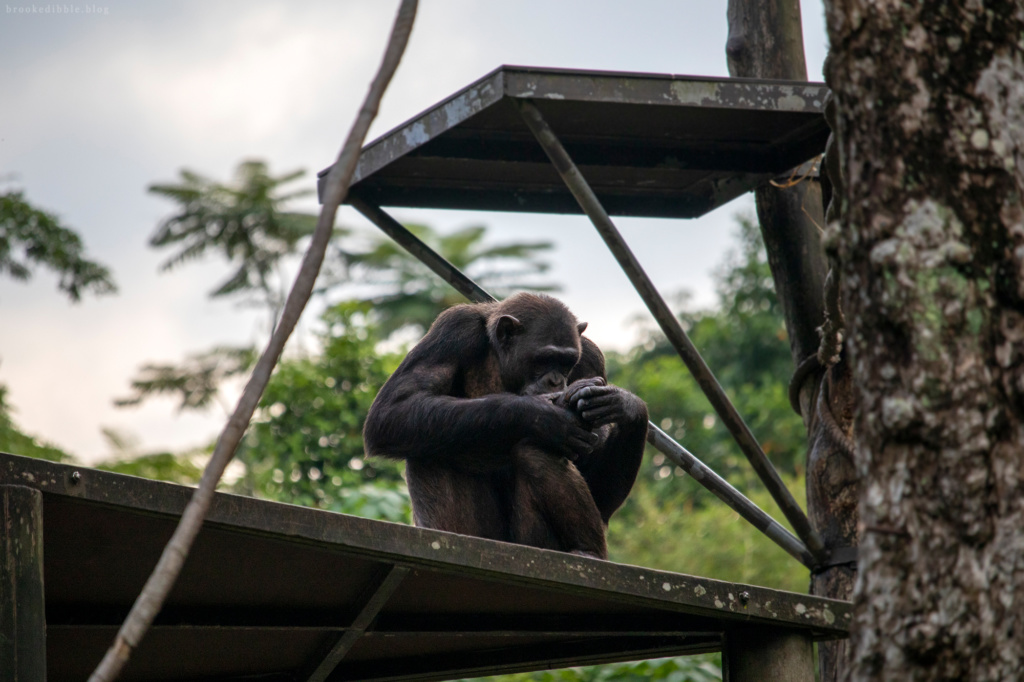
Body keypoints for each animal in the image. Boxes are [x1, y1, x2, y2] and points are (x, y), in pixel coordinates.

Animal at [364, 288, 643, 557]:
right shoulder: (452, 329)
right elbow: (394, 408)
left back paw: (588, 551)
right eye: (543, 359)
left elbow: (601, 494)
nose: (556, 381)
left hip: (534, 542)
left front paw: (626, 405)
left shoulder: (591, 357)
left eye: (566, 362)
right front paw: (544, 416)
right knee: (425, 440)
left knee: (534, 453)